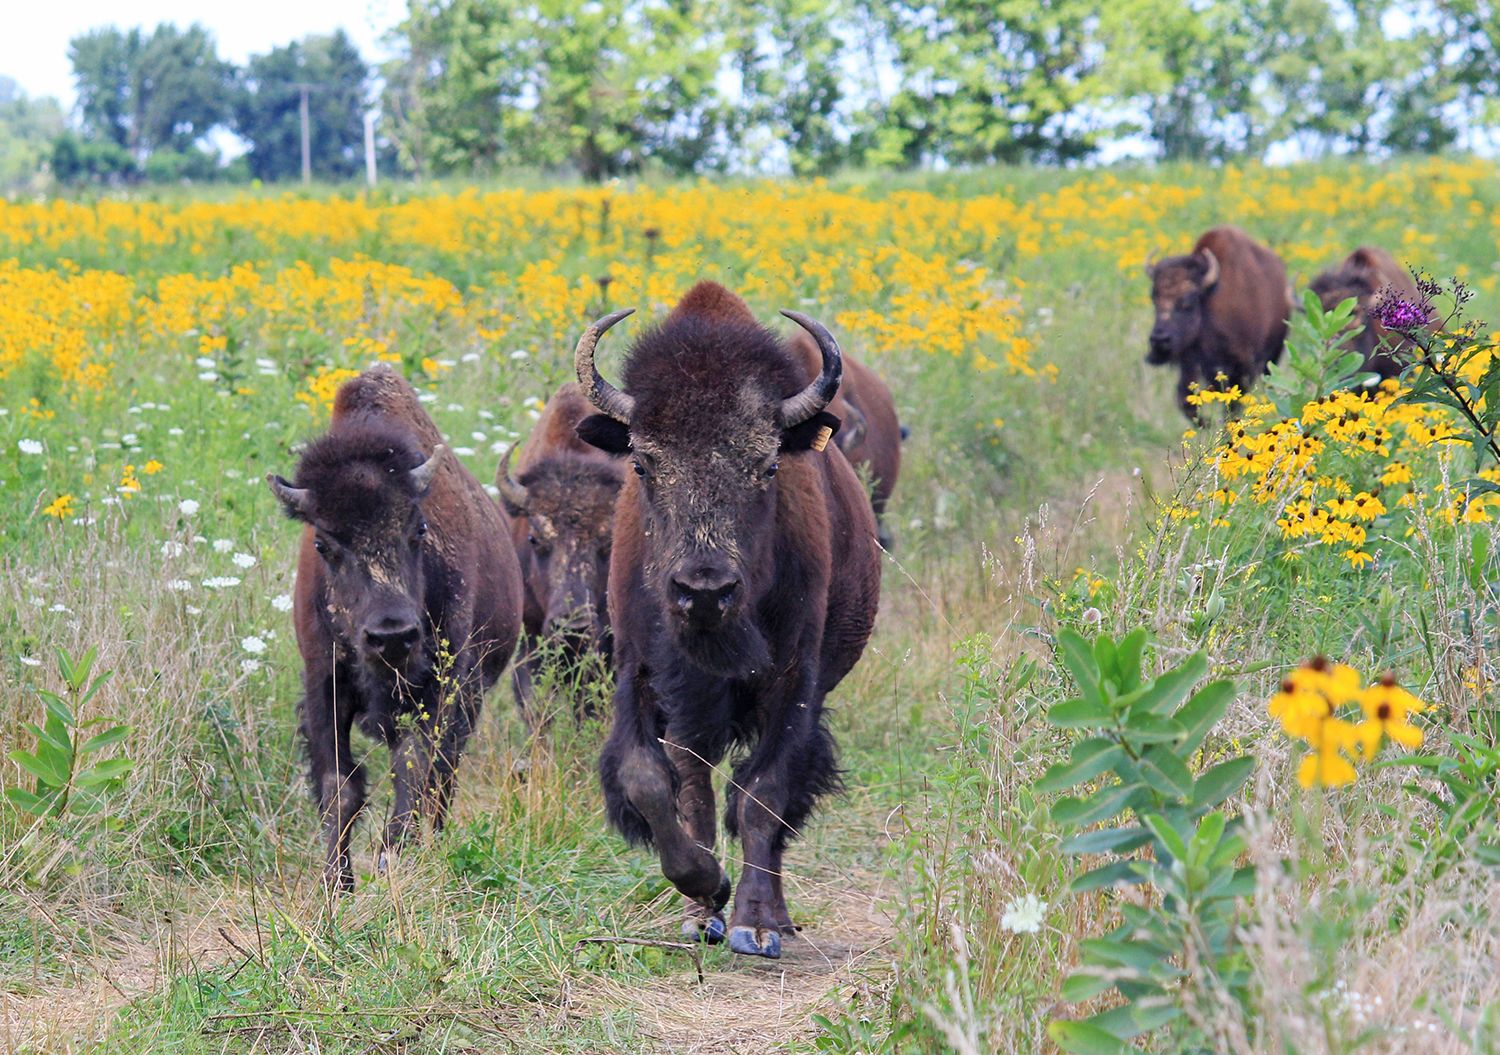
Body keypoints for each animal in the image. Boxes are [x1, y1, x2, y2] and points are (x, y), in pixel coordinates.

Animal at [267, 364, 522, 890]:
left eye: (419, 529)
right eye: (323, 543)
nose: (391, 635)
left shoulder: (441, 686)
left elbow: (413, 769)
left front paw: (393, 859)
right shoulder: (325, 683)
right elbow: (339, 785)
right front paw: (337, 883)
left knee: (443, 777)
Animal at [574, 281, 881, 959]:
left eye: (768, 466)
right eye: (642, 464)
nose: (704, 590)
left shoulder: (796, 682)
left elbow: (765, 794)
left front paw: (755, 925)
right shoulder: (642, 672)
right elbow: (651, 780)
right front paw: (706, 889)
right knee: (697, 786)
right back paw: (700, 913)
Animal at [1146, 226, 1293, 420]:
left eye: (1188, 302)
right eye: (1154, 299)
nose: (1159, 340)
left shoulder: (1241, 367)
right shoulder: (1190, 363)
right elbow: (1185, 400)